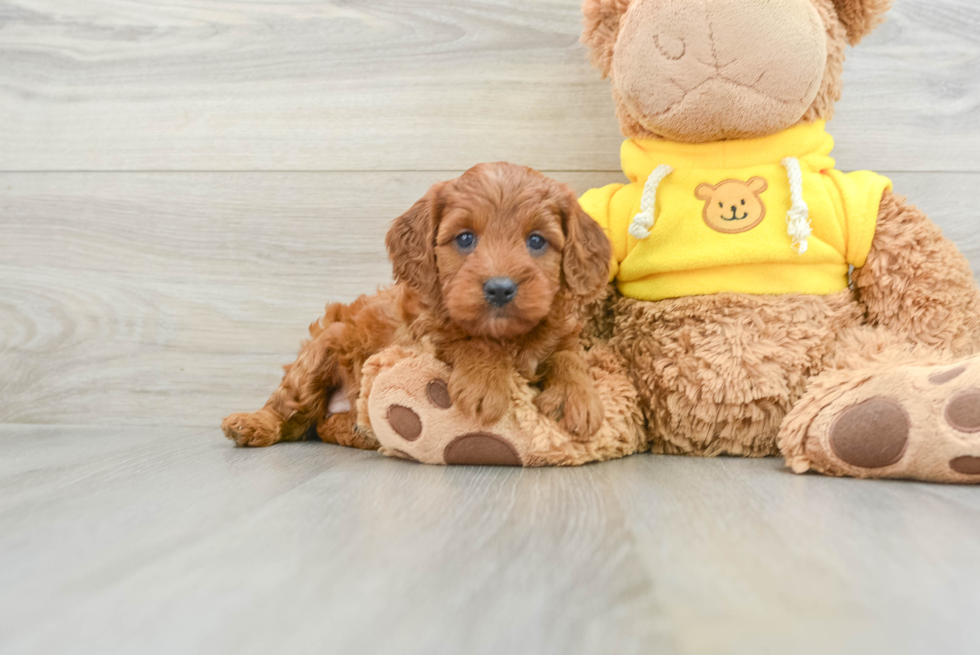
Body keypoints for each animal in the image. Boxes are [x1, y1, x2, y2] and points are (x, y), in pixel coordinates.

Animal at [222, 164, 612, 452]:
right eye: (465, 238)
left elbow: (567, 356)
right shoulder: (420, 337)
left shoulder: (560, 333)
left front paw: (575, 396)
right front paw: (487, 383)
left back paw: (357, 431)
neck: (506, 336)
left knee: (321, 425)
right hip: (324, 346)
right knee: (290, 411)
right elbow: (467, 340)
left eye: (536, 241)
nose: (500, 289)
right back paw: (253, 423)